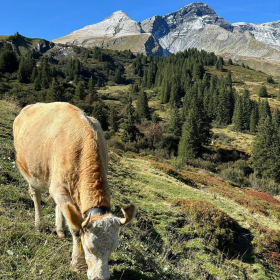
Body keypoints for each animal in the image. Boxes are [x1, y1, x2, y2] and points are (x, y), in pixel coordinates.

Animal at [13, 102, 136, 280]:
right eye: (89, 247)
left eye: (113, 248)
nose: (101, 278)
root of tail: (29, 107)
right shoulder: (59, 188)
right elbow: (76, 228)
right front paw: (78, 264)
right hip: (30, 170)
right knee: (35, 195)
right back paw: (40, 225)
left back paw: (60, 229)